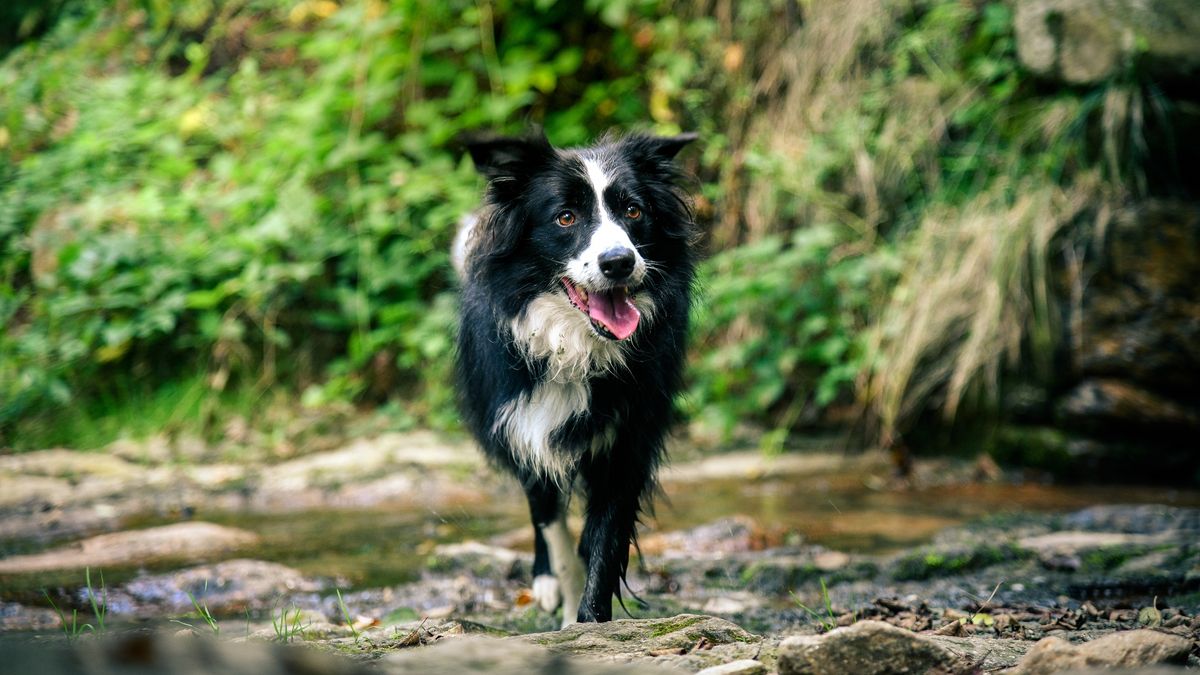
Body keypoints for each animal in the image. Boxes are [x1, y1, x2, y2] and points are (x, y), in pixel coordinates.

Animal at [451, 130, 700, 624]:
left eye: (633, 211)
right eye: (565, 217)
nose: (619, 262)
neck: (574, 348)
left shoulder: (629, 433)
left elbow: (604, 539)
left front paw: (591, 620)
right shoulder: (523, 424)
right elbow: (553, 530)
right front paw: (566, 611)